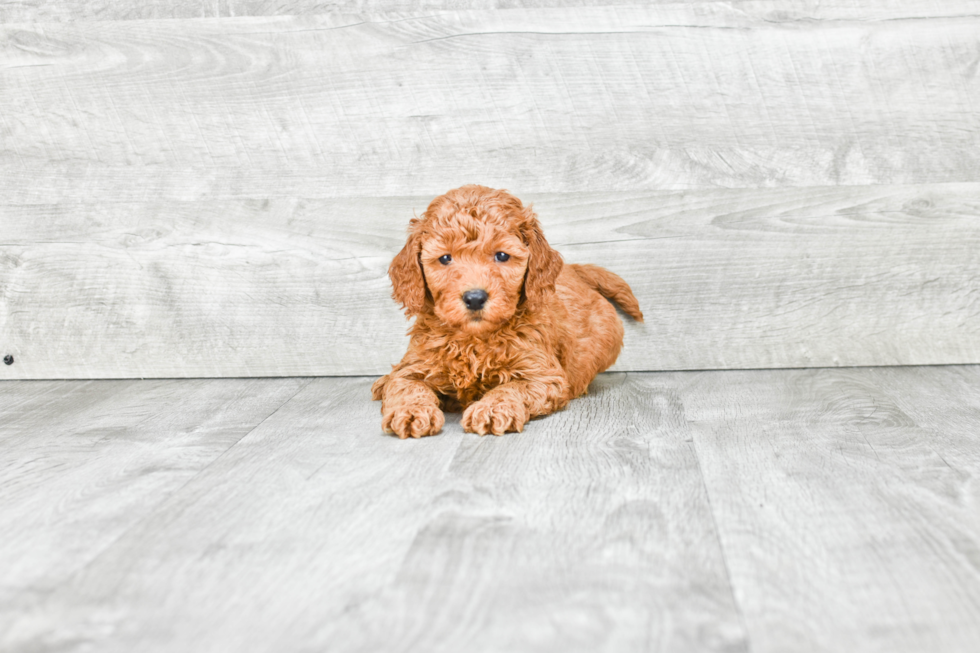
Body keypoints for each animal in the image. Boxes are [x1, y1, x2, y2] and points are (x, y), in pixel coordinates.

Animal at [370, 185, 644, 438]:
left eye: (502, 255)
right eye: (445, 258)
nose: (475, 298)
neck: (473, 340)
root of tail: (574, 270)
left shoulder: (543, 375)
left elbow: (511, 388)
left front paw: (491, 409)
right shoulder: (415, 365)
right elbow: (406, 386)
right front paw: (411, 411)